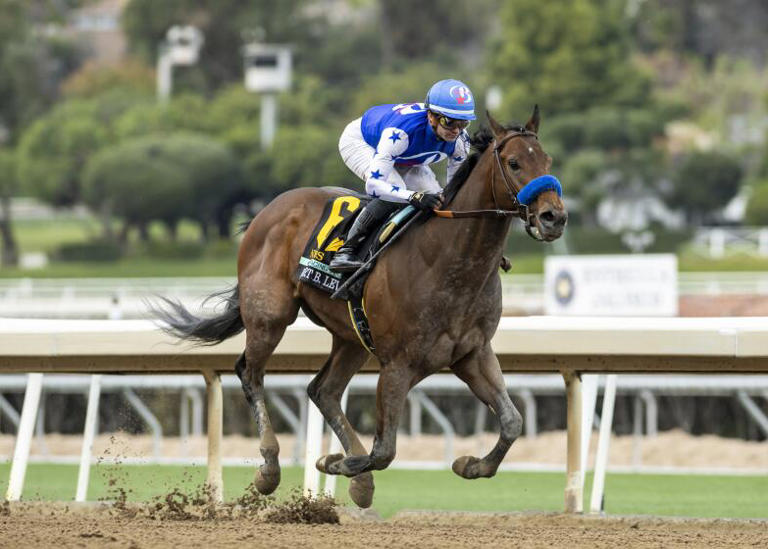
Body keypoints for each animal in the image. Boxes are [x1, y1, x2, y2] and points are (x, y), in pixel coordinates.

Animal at [158, 108, 564, 510]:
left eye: (547, 160)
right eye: (514, 163)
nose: (553, 217)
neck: (449, 261)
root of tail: (265, 211)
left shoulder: (472, 354)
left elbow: (512, 421)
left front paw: (470, 465)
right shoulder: (398, 364)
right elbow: (384, 450)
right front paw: (335, 462)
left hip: (351, 336)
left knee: (323, 390)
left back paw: (358, 481)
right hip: (270, 316)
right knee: (250, 373)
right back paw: (270, 469)